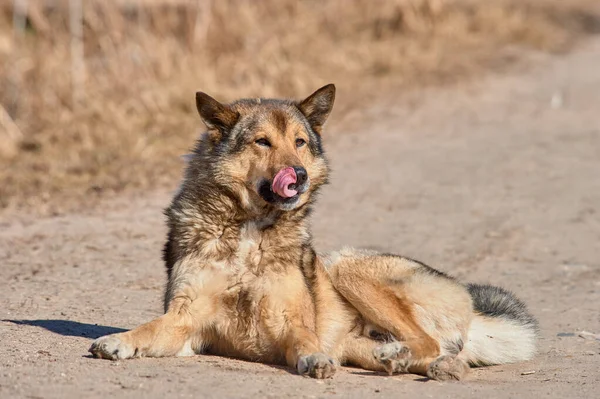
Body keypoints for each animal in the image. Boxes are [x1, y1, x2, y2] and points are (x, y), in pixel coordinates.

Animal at [90, 84, 540, 382]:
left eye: (301, 142)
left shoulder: (291, 322)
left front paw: (313, 362)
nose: (300, 176)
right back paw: (411, 361)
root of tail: (470, 303)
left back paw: (413, 358)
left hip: (346, 266)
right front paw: (118, 340)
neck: (250, 229)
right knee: (429, 352)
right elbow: (149, 328)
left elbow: (306, 344)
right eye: (262, 142)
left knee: (428, 341)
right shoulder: (186, 322)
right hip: (353, 320)